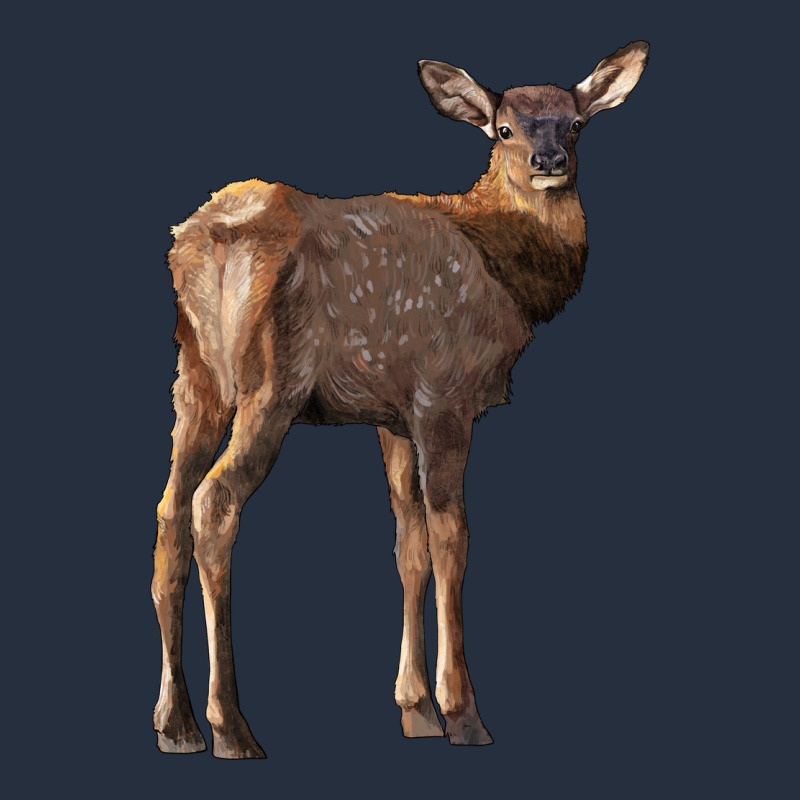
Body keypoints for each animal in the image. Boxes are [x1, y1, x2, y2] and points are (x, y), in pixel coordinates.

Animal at [152, 41, 649, 759]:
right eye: (503, 130)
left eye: (576, 124)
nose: (548, 161)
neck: (507, 273)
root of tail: (209, 238)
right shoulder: (445, 394)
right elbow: (451, 537)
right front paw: (463, 715)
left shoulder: (390, 412)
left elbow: (407, 542)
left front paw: (414, 710)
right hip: (270, 382)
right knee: (213, 503)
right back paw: (231, 727)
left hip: (195, 376)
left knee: (169, 509)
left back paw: (177, 724)